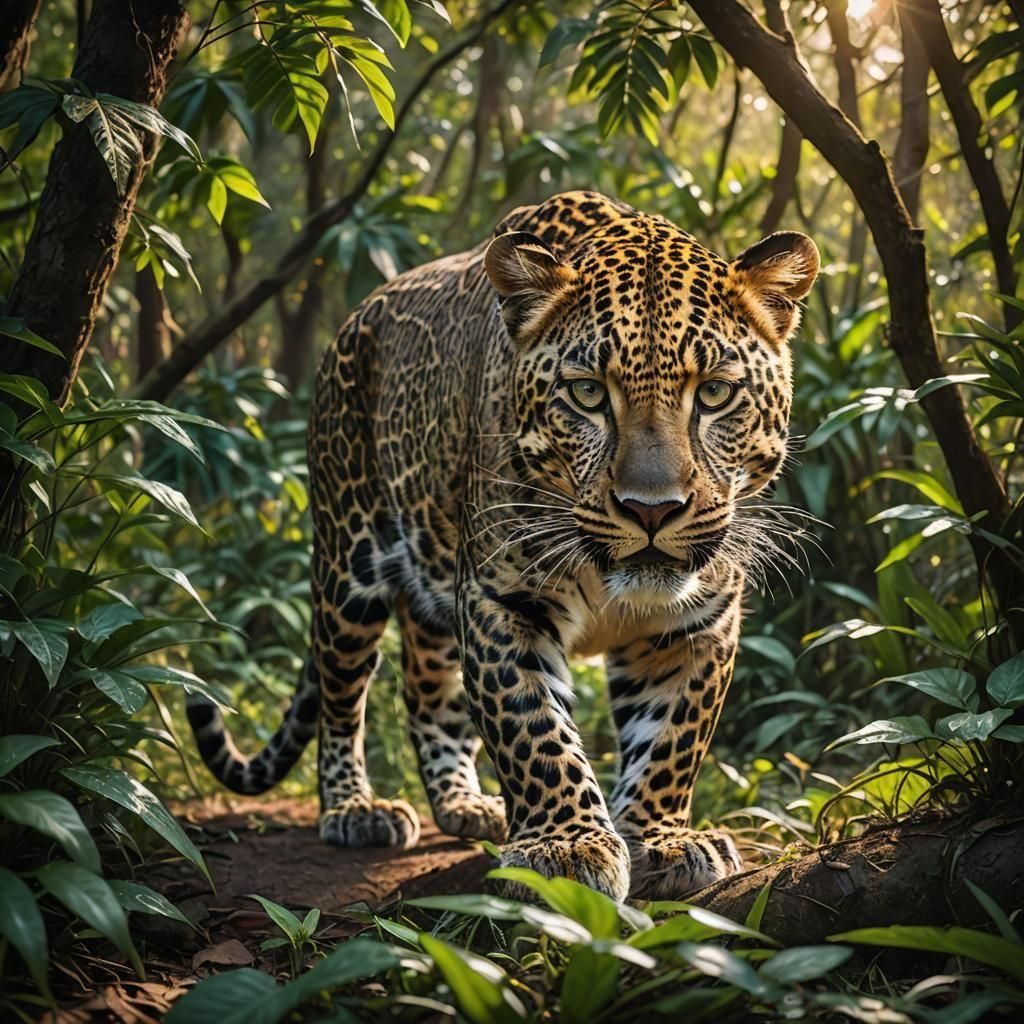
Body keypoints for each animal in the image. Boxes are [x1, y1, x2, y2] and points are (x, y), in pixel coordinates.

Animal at [186, 190, 819, 901]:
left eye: (714, 393)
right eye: (587, 393)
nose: (651, 510)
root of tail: (354, 318)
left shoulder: (697, 620)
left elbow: (673, 736)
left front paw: (662, 838)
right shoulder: (501, 599)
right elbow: (532, 728)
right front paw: (565, 847)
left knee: (426, 691)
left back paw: (464, 803)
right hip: (348, 565)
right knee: (342, 694)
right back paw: (355, 808)